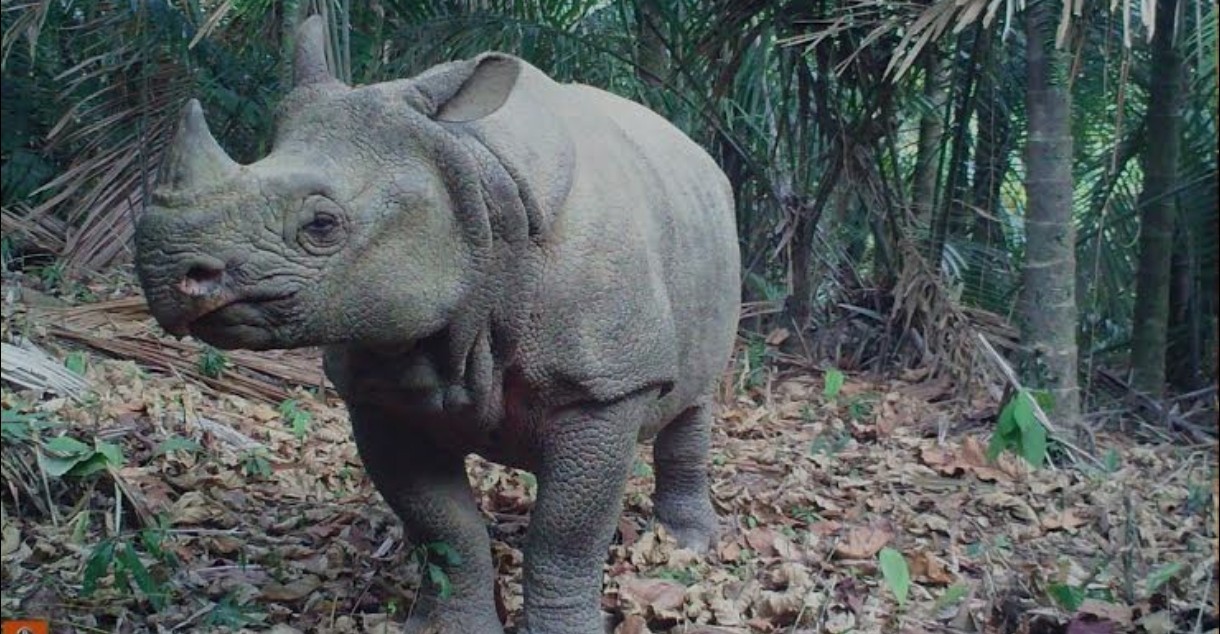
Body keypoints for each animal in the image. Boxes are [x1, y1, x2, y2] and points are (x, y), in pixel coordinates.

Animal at [135, 16, 740, 634]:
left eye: (322, 225)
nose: (164, 269)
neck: (473, 180)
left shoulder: (602, 387)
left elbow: (566, 536)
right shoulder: (379, 378)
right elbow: (444, 526)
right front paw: (447, 619)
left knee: (694, 397)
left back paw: (687, 543)